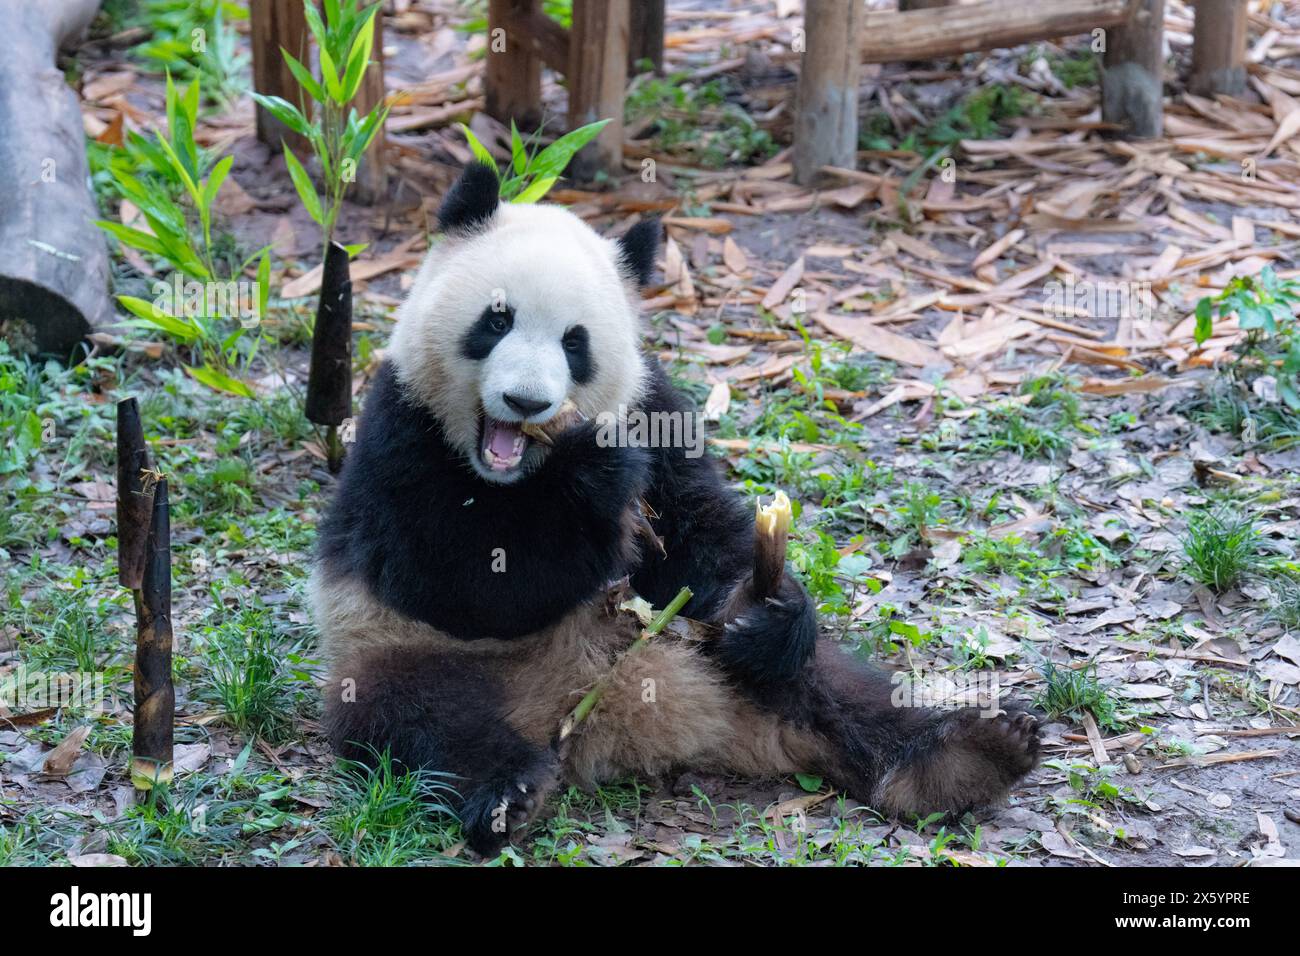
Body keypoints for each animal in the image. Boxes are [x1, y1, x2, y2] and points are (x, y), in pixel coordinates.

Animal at [309, 160, 1040, 858]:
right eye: (496, 321)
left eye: (575, 342)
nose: (526, 403)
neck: (517, 472)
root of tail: (607, 713)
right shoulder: (399, 429)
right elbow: (457, 577)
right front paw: (593, 485)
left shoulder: (651, 406)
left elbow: (699, 531)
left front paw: (764, 605)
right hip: (395, 654)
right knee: (421, 723)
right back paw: (505, 796)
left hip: (705, 647)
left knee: (828, 682)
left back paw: (966, 755)